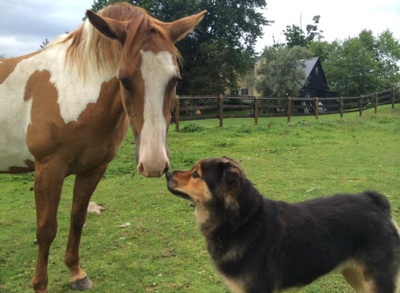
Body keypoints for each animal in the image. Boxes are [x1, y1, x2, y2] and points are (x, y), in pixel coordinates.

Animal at [0, 3, 206, 290]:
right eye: (124, 78)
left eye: (174, 79)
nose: (154, 164)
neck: (73, 92)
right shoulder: (48, 170)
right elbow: (46, 228)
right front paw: (40, 284)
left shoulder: (94, 169)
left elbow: (78, 218)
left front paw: (76, 273)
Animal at [166, 157, 400, 292]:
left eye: (196, 174)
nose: (167, 172)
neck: (242, 222)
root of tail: (374, 201)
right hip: (357, 276)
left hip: (377, 279)